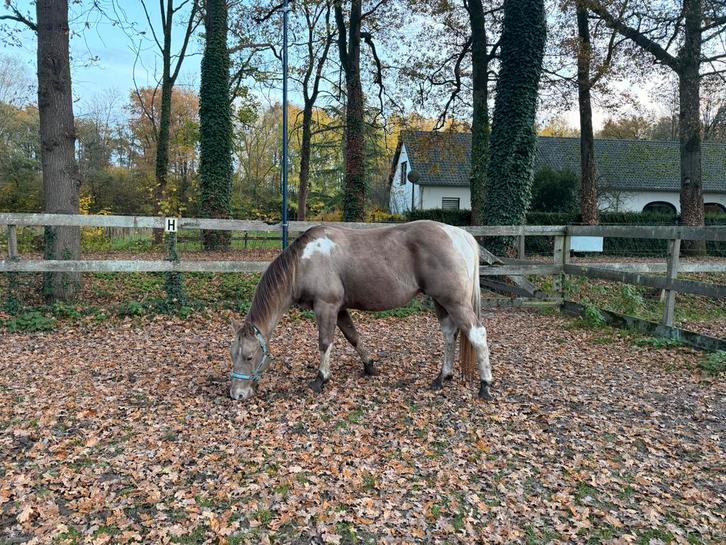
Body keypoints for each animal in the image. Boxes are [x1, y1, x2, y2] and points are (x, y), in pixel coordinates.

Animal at [229, 220, 492, 401]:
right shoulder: (340, 309)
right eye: (233, 355)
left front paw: (320, 379)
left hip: (454, 301)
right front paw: (369, 366)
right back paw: (442, 378)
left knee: (477, 333)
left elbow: (325, 342)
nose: (236, 394)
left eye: (249, 356)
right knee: (449, 335)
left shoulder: (326, 306)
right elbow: (353, 337)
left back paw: (485, 385)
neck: (304, 261)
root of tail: (459, 234)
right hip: (441, 302)